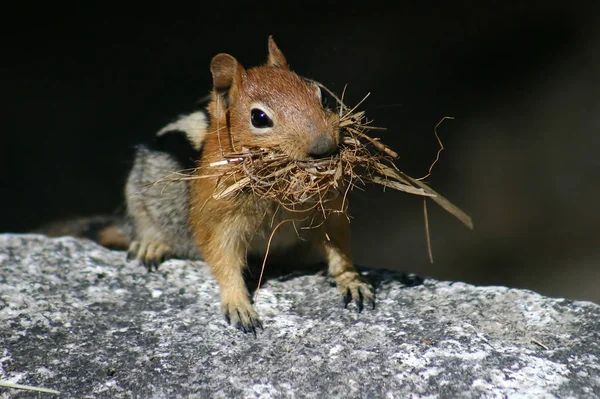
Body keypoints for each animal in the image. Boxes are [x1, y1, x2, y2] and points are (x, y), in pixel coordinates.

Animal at [41, 36, 376, 334]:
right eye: (259, 117)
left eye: (321, 94)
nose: (324, 146)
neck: (276, 192)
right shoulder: (218, 218)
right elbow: (222, 257)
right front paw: (238, 304)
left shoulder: (328, 210)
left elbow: (338, 247)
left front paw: (352, 281)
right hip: (142, 193)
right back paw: (151, 244)